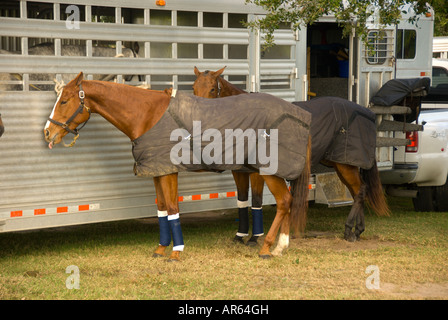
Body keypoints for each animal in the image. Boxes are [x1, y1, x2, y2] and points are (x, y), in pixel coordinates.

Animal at [44, 72, 312, 260]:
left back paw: (267, 248)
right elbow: (163, 208)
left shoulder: (169, 172)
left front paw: (176, 252)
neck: (149, 114)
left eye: (64, 101)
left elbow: (173, 207)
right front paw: (161, 249)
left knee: (284, 201)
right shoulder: (157, 171)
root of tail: (301, 114)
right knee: (286, 201)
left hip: (268, 172)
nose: (47, 132)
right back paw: (280, 246)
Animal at [192, 67, 388, 242]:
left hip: (346, 164)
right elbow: (241, 201)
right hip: (339, 165)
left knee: (360, 190)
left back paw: (349, 230)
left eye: (212, 89)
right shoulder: (239, 172)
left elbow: (256, 201)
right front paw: (240, 236)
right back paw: (358, 230)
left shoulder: (257, 173)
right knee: (357, 192)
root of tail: (366, 112)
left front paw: (255, 238)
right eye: (193, 88)